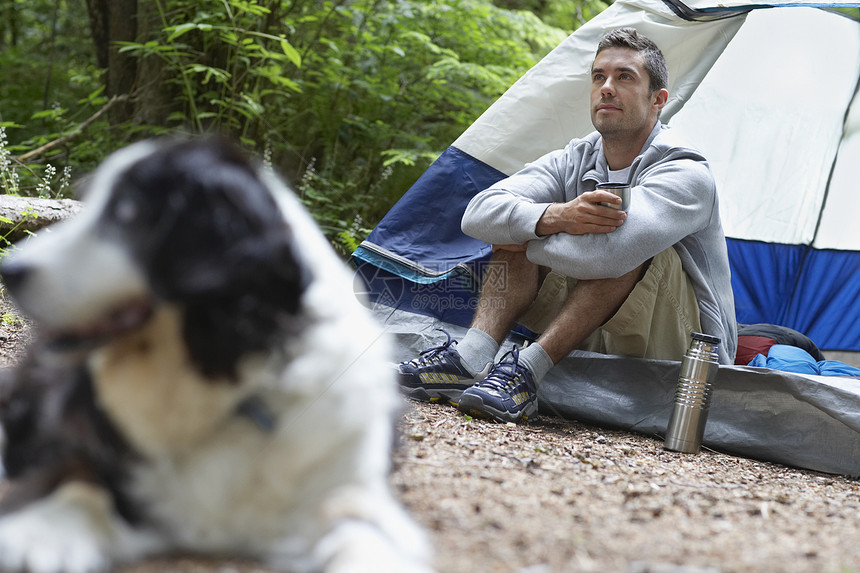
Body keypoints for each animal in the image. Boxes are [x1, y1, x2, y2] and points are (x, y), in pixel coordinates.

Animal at [0, 140, 434, 572]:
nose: (10, 269)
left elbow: (359, 532)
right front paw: (39, 531)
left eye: (127, 211)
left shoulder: (351, 488)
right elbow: (80, 482)